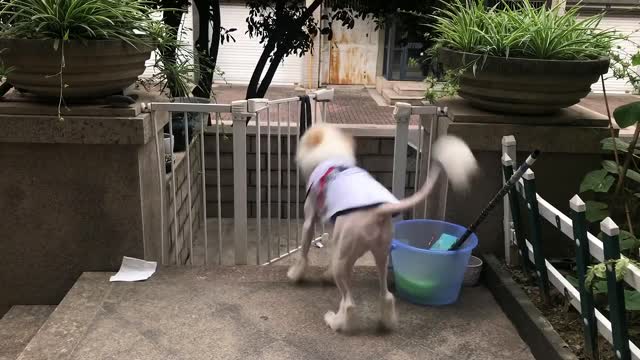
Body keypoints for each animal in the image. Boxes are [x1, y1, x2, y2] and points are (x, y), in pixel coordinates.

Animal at [288, 123, 478, 332]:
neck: (332, 156)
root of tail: (378, 211)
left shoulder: (309, 221)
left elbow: (304, 251)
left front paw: (295, 275)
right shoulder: (335, 231)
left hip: (347, 257)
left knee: (349, 303)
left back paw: (336, 322)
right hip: (379, 253)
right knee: (385, 295)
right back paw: (386, 322)